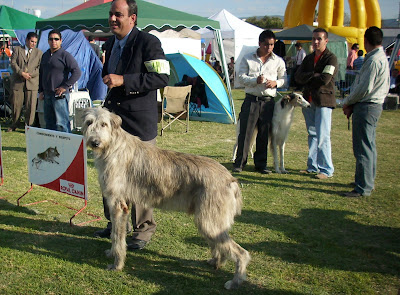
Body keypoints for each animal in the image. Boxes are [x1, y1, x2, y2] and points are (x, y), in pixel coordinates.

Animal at [81, 107, 250, 290]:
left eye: (104, 124)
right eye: (89, 122)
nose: (95, 142)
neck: (112, 146)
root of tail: (231, 180)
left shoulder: (118, 205)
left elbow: (118, 237)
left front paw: (117, 264)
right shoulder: (116, 205)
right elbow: (114, 234)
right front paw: (111, 253)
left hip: (209, 222)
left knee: (242, 253)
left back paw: (235, 281)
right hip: (210, 222)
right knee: (221, 246)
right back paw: (216, 262)